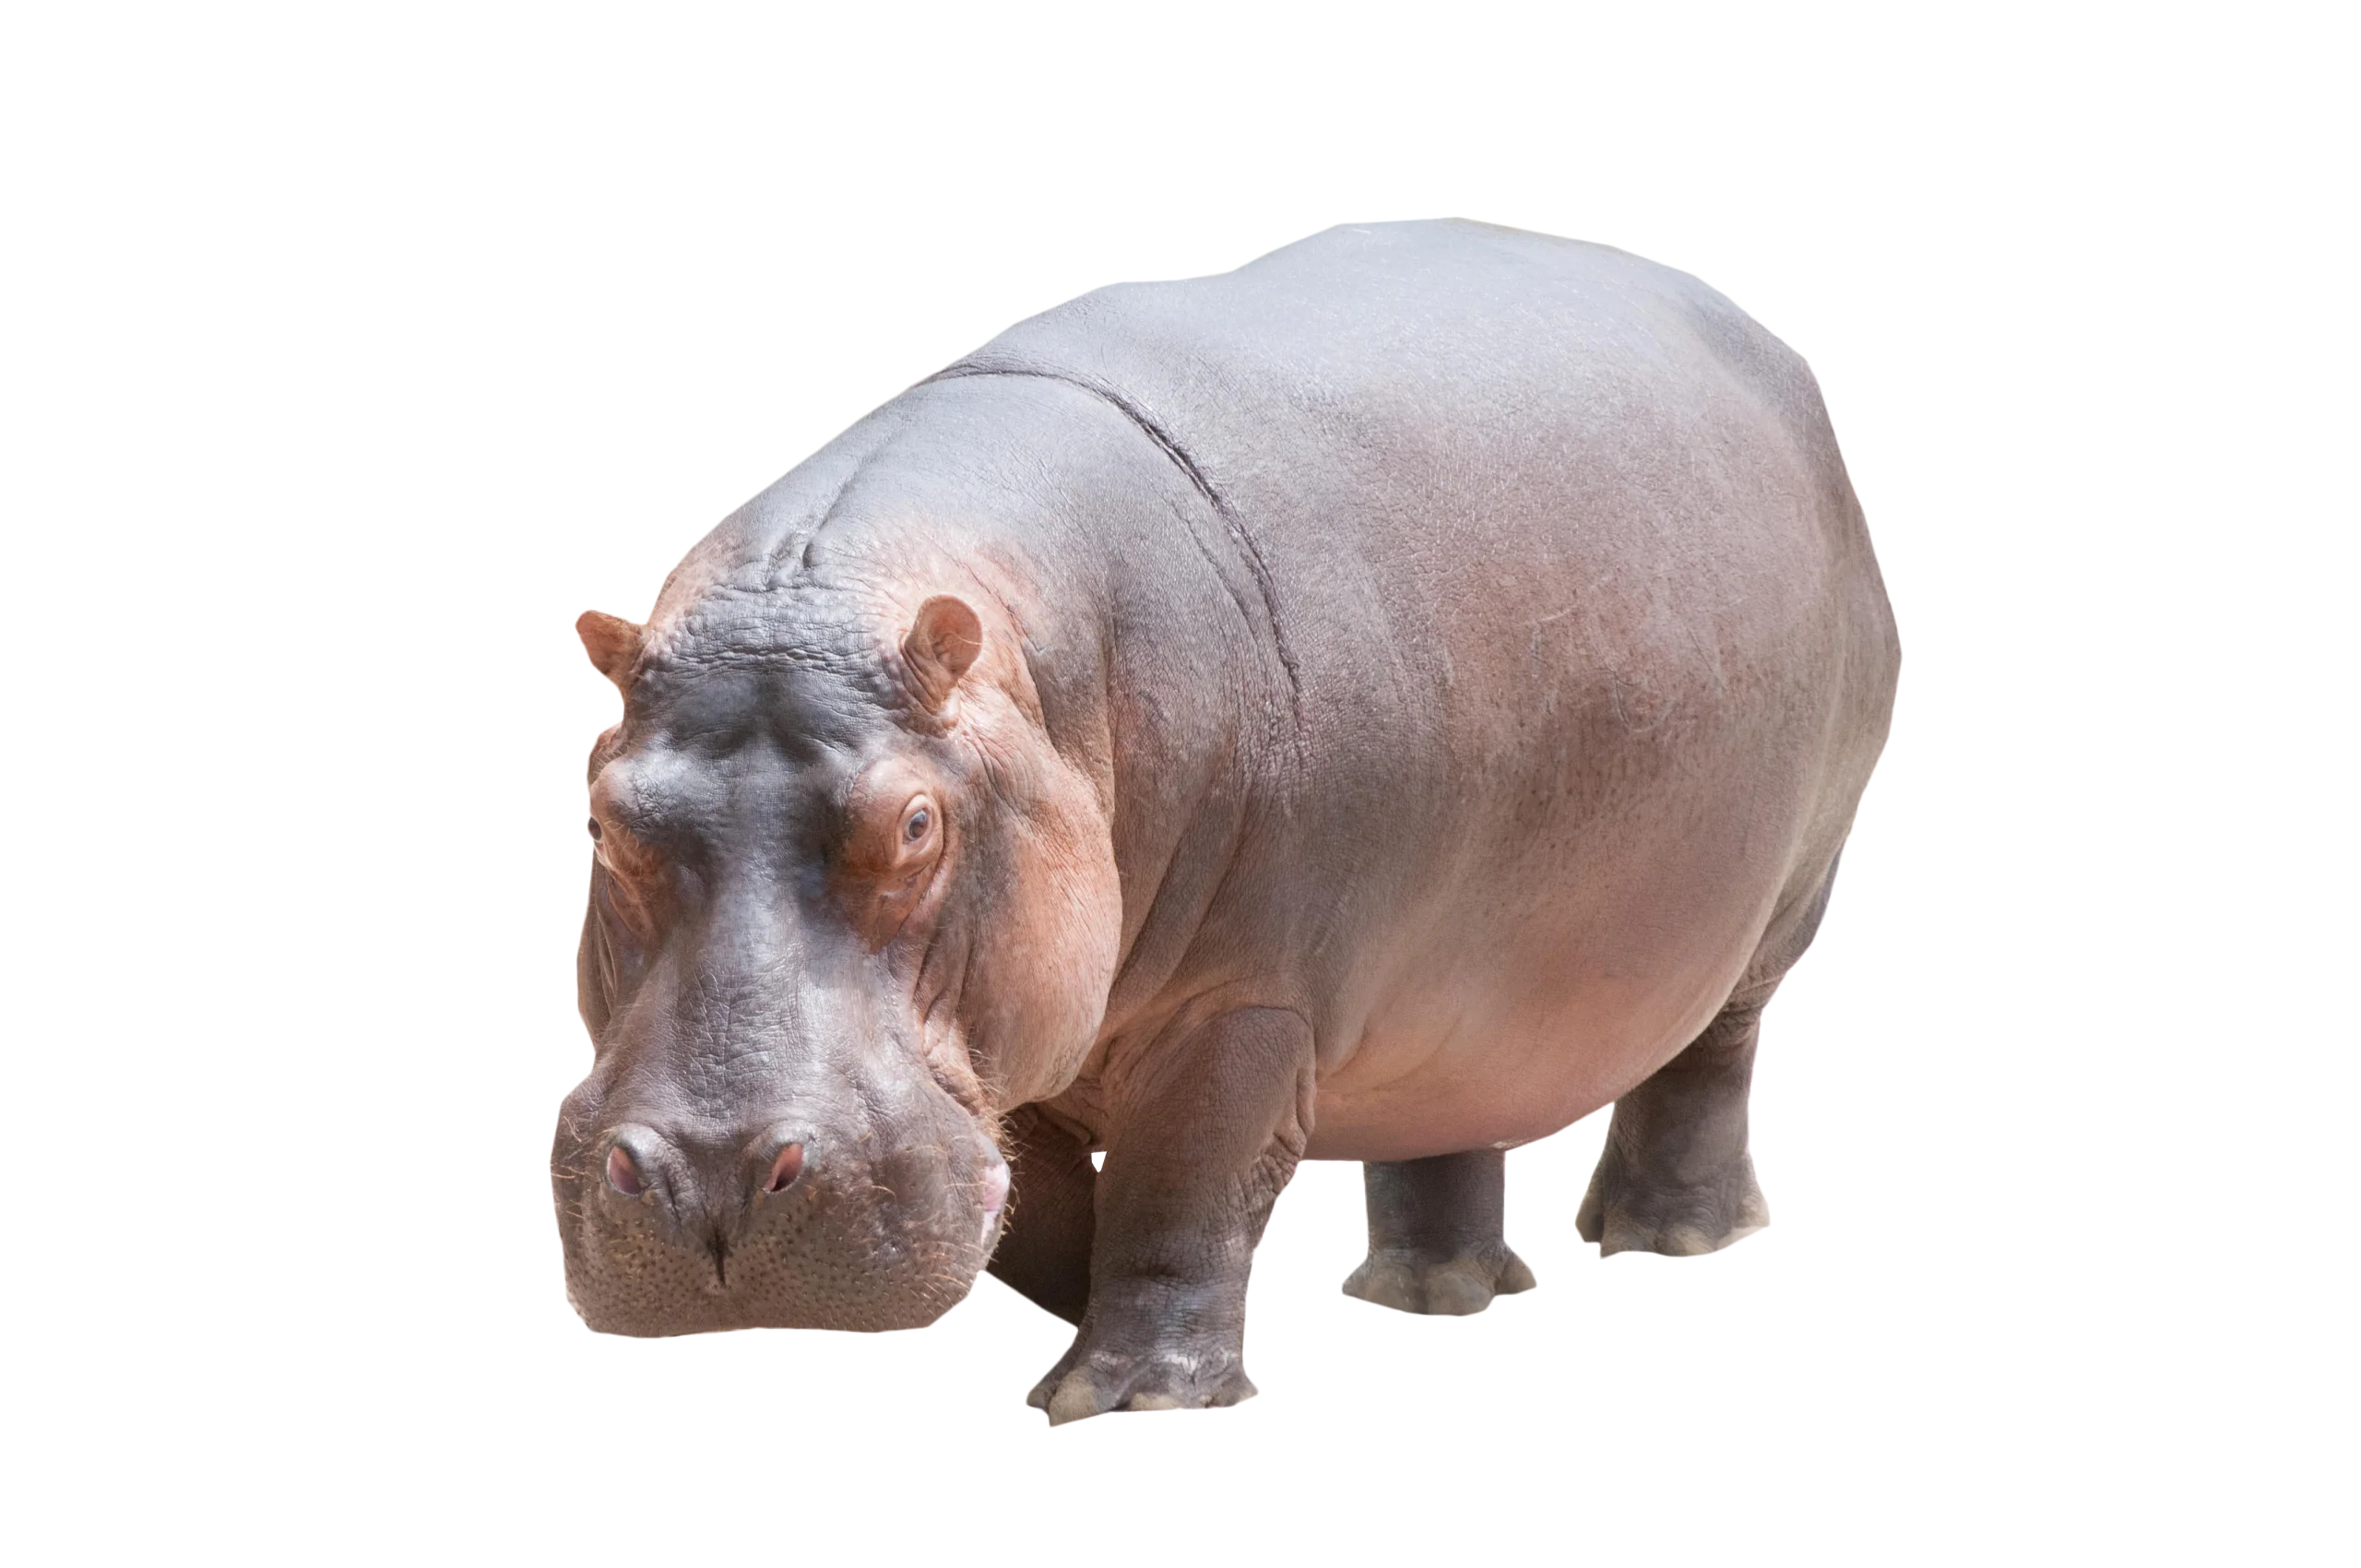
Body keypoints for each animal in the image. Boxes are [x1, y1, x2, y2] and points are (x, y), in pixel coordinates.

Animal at [552, 217, 1904, 1423]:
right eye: (608, 817)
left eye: (920, 823)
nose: (713, 1179)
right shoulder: (1034, 1021)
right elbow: (1050, 1203)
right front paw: (1080, 1307)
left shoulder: (1242, 1000)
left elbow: (1180, 1178)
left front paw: (1131, 1393)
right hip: (1447, 981)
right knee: (1445, 1119)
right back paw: (1429, 1289)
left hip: (1781, 895)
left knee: (1707, 1056)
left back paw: (1666, 1237)